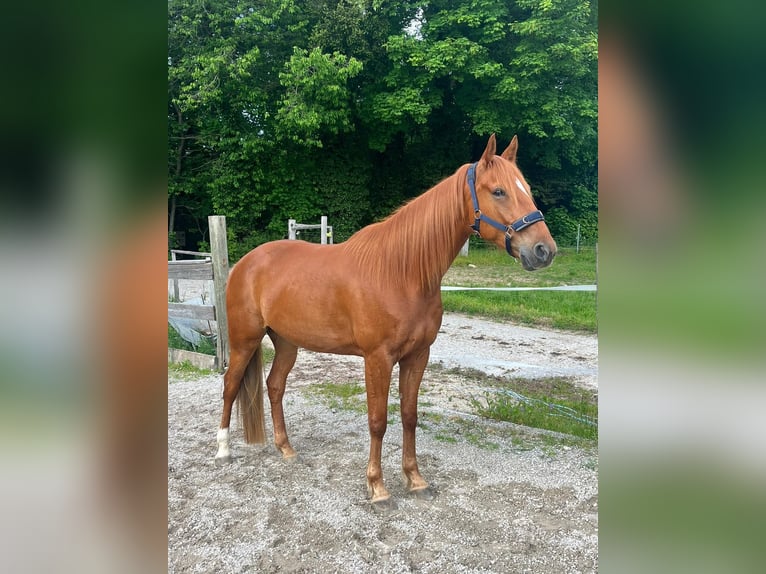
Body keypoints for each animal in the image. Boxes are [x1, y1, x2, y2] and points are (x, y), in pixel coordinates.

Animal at [214, 134, 557, 510]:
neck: (400, 273)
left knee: (275, 386)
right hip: (245, 339)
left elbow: (409, 416)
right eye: (498, 191)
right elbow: (378, 421)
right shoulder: (377, 358)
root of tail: (246, 262)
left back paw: (286, 449)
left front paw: (415, 480)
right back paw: (223, 450)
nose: (544, 250)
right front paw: (377, 488)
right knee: (230, 385)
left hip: (287, 342)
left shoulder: (417, 356)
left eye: (526, 189)